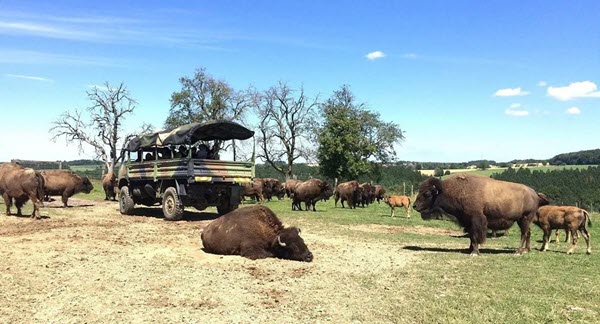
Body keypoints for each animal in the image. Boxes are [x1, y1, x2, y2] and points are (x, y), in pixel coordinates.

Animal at [412, 175, 548, 256]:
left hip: (524, 219)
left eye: (427, 193)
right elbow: (471, 237)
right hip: (524, 220)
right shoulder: (468, 222)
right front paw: (469, 250)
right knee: (528, 233)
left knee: (524, 234)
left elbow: (475, 236)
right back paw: (526, 250)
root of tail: (534, 193)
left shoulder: (476, 220)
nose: (415, 206)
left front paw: (474, 252)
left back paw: (518, 251)